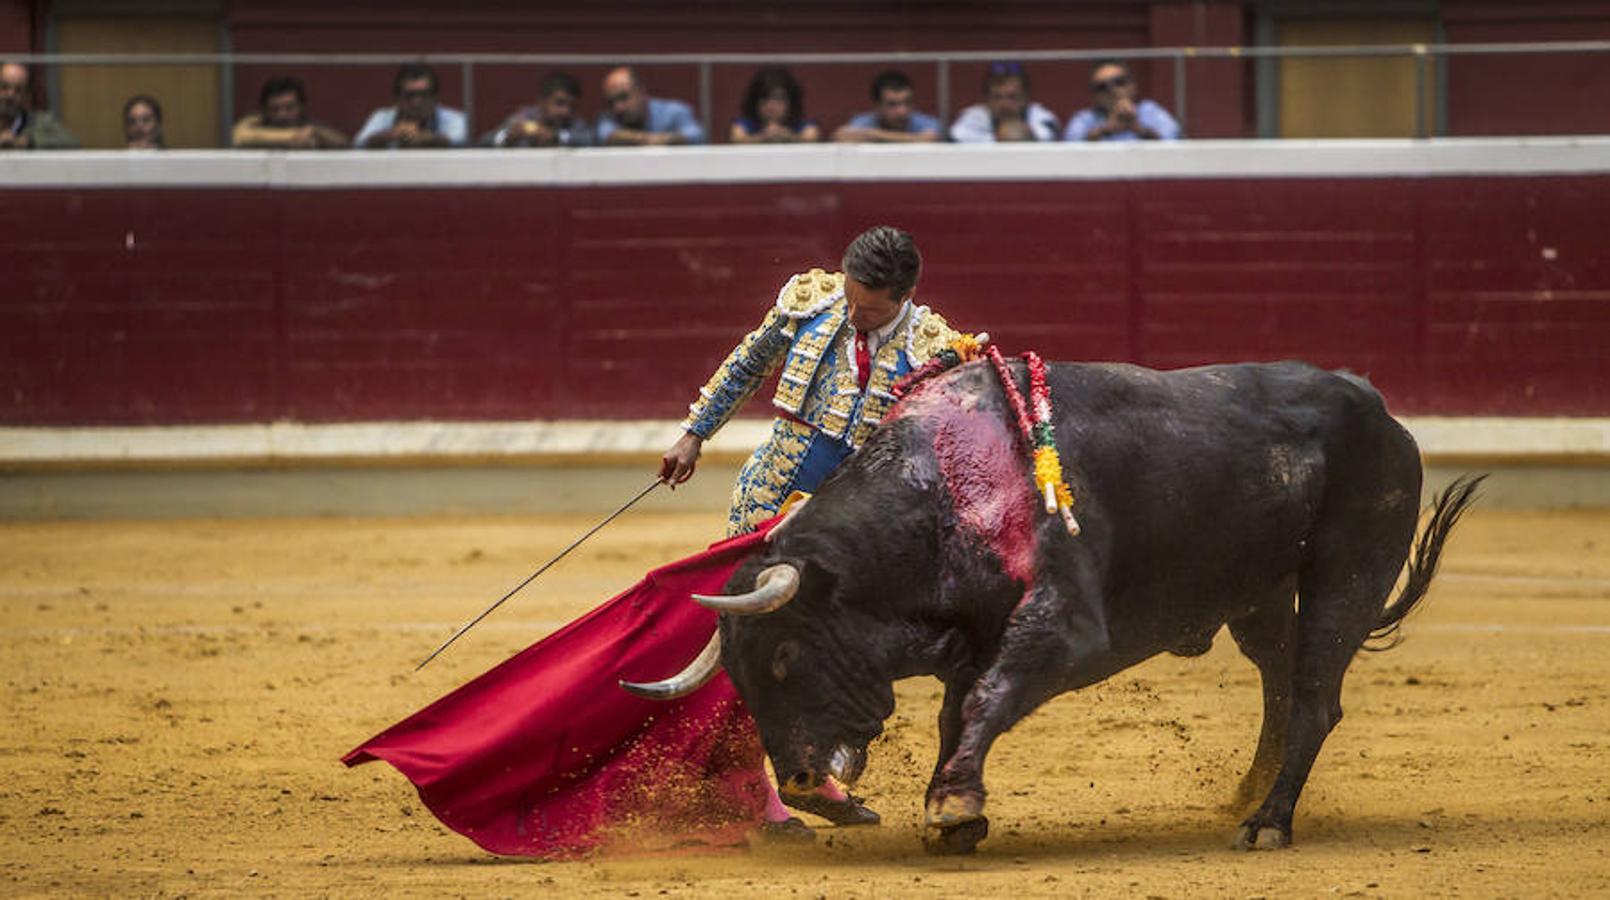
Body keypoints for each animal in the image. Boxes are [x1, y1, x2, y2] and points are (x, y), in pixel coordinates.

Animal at [621, 357, 1474, 850]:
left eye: (786, 656)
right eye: (739, 677)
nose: (800, 783)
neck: (942, 493)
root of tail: (1384, 411)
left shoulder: (1066, 629)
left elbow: (987, 700)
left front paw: (953, 806)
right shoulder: (972, 636)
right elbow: (959, 710)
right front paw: (953, 810)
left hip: (1346, 574)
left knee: (1315, 694)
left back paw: (1268, 823)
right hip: (1257, 596)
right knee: (1280, 679)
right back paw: (1247, 794)